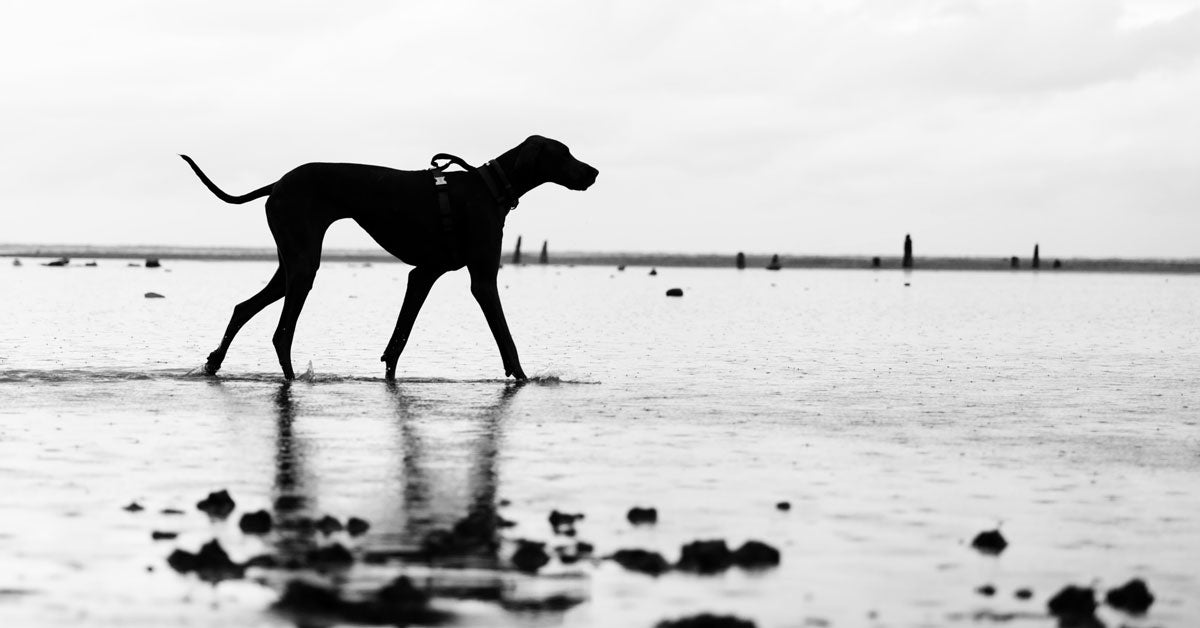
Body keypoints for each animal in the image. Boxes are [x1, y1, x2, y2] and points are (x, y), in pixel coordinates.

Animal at [180, 135, 597, 381]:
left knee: (243, 307)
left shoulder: (424, 274)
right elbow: (505, 337)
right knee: (281, 333)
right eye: (564, 153)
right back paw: (290, 378)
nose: (593, 172)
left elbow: (400, 336)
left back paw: (214, 363)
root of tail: (277, 183)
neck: (490, 186)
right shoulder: (482, 280)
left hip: (291, 264)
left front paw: (390, 374)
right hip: (302, 267)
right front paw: (523, 378)